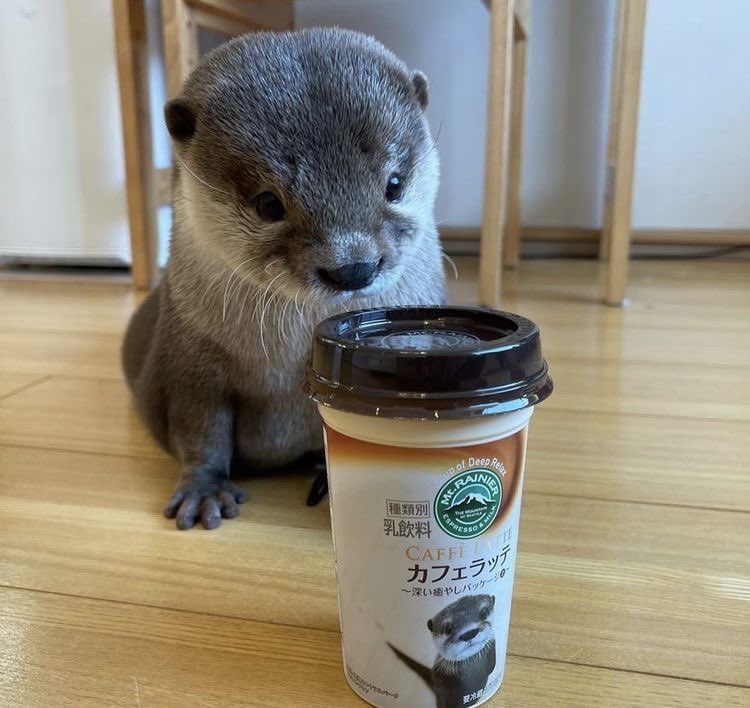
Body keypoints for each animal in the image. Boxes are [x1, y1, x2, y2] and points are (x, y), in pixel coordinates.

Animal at [122, 28, 446, 529]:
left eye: (393, 184)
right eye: (269, 203)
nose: (353, 267)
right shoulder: (189, 364)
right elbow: (199, 429)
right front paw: (205, 490)